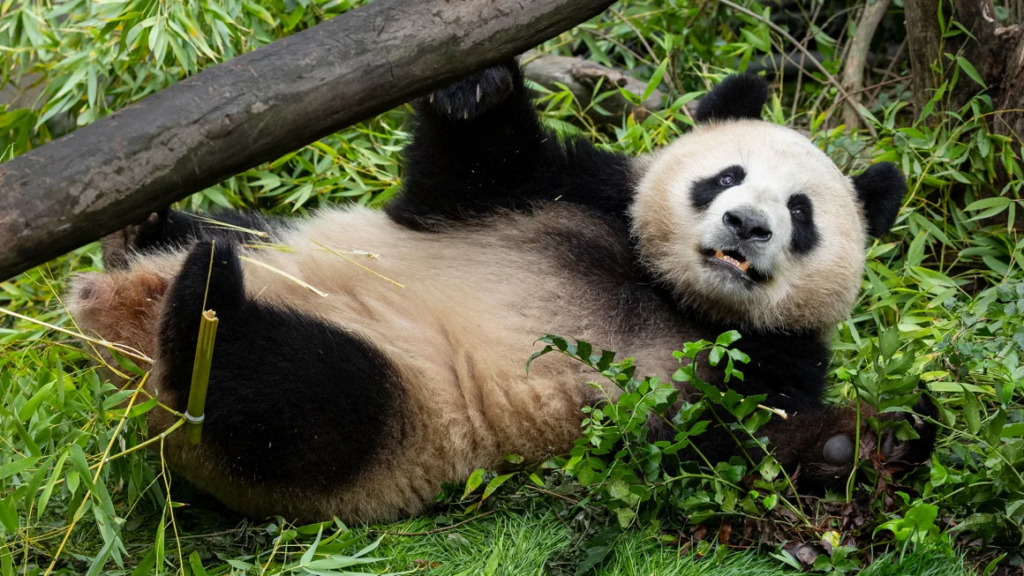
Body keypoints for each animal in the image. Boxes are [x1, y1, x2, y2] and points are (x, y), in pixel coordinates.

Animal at [66, 61, 937, 520]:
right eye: (726, 176)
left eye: (802, 213)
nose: (748, 223)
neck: (671, 292)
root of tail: (119, 328)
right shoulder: (568, 193)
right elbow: (466, 173)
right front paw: (477, 87)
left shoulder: (764, 359)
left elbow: (713, 449)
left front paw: (863, 443)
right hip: (275, 243)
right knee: (225, 240)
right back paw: (146, 234)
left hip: (402, 418)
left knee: (296, 398)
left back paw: (201, 315)